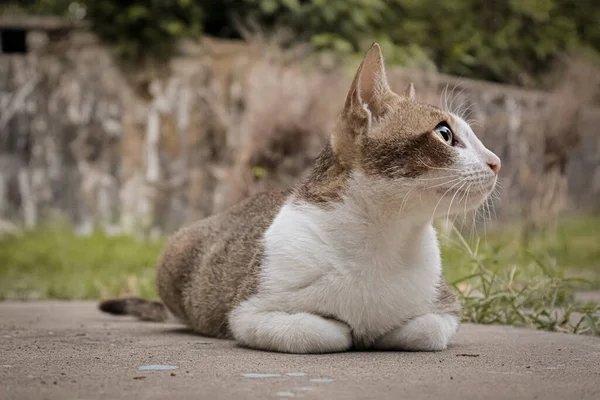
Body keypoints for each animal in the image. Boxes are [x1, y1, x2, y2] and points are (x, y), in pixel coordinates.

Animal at [99, 43, 502, 354]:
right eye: (445, 134)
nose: (496, 161)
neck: (382, 236)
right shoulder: (248, 313)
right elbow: (321, 332)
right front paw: (349, 329)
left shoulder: (446, 306)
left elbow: (425, 330)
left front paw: (383, 331)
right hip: (176, 252)